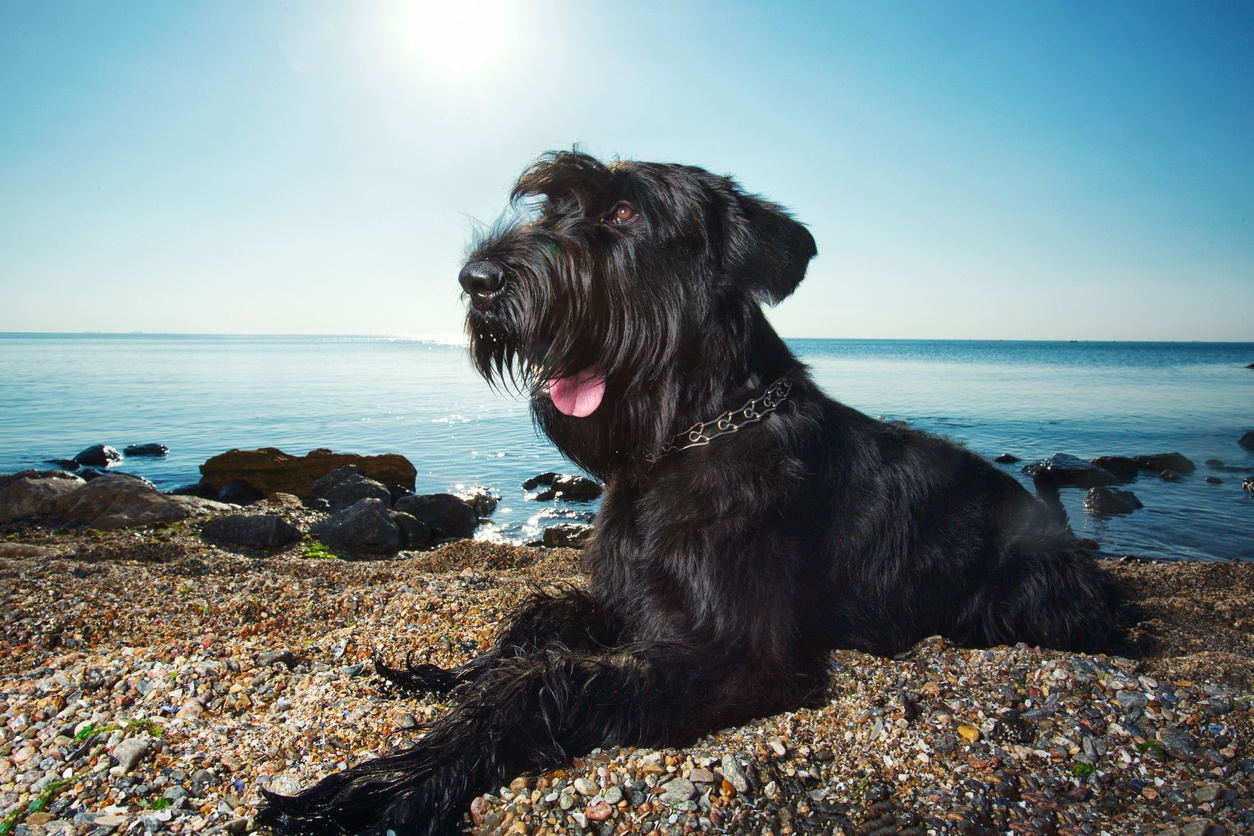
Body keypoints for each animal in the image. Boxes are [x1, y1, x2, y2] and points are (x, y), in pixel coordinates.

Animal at [259, 152, 1123, 836]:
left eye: (623, 210)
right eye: (551, 207)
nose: (476, 280)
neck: (687, 436)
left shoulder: (738, 654)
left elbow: (548, 679)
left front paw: (390, 783)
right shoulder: (632, 597)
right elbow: (536, 622)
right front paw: (450, 676)